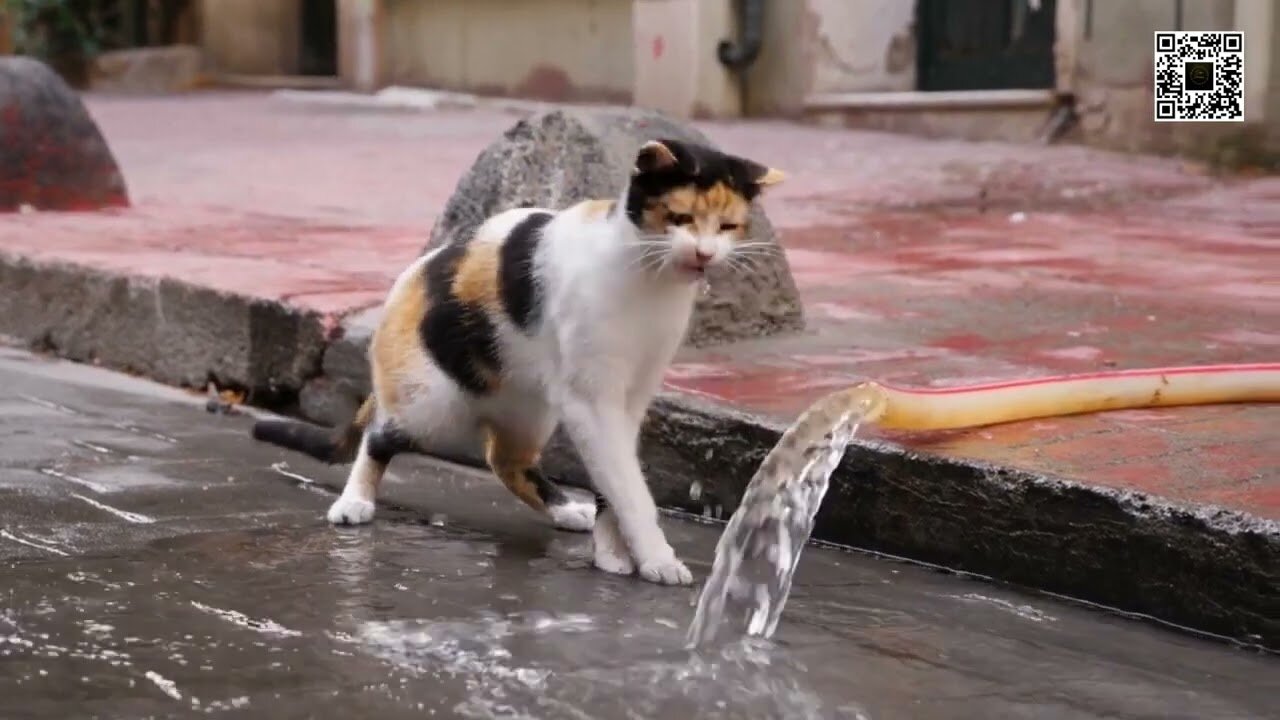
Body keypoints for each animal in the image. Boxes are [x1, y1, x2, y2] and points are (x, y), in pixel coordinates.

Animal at [252, 139, 778, 584]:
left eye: (727, 226)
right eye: (681, 217)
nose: (705, 253)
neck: (652, 283)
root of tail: (410, 276)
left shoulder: (631, 393)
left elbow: (617, 475)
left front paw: (612, 552)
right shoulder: (591, 398)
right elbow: (628, 484)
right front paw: (655, 559)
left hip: (531, 407)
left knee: (506, 462)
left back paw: (566, 510)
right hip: (431, 401)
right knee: (380, 435)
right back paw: (355, 501)